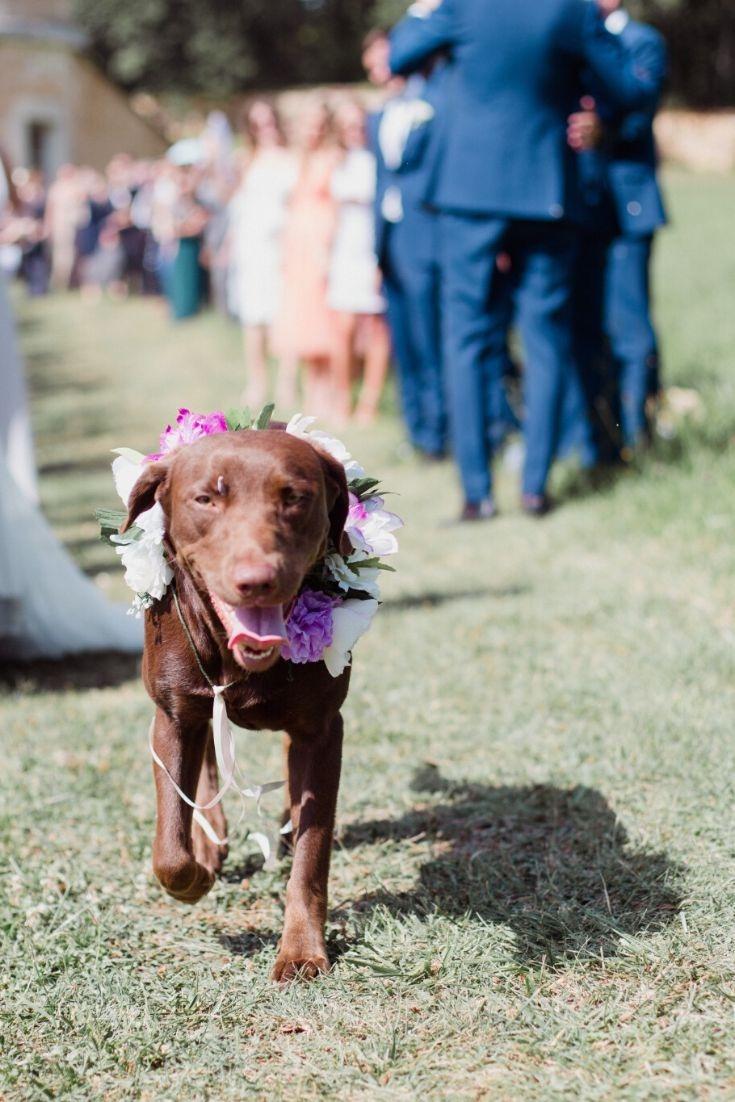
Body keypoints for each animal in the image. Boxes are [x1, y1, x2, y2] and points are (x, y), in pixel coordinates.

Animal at [120, 427, 350, 982]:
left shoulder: (322, 728)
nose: (257, 579)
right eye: (206, 499)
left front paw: (302, 950)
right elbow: (169, 848)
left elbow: (311, 854)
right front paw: (195, 875)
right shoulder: (171, 718)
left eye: (295, 497)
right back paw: (211, 840)